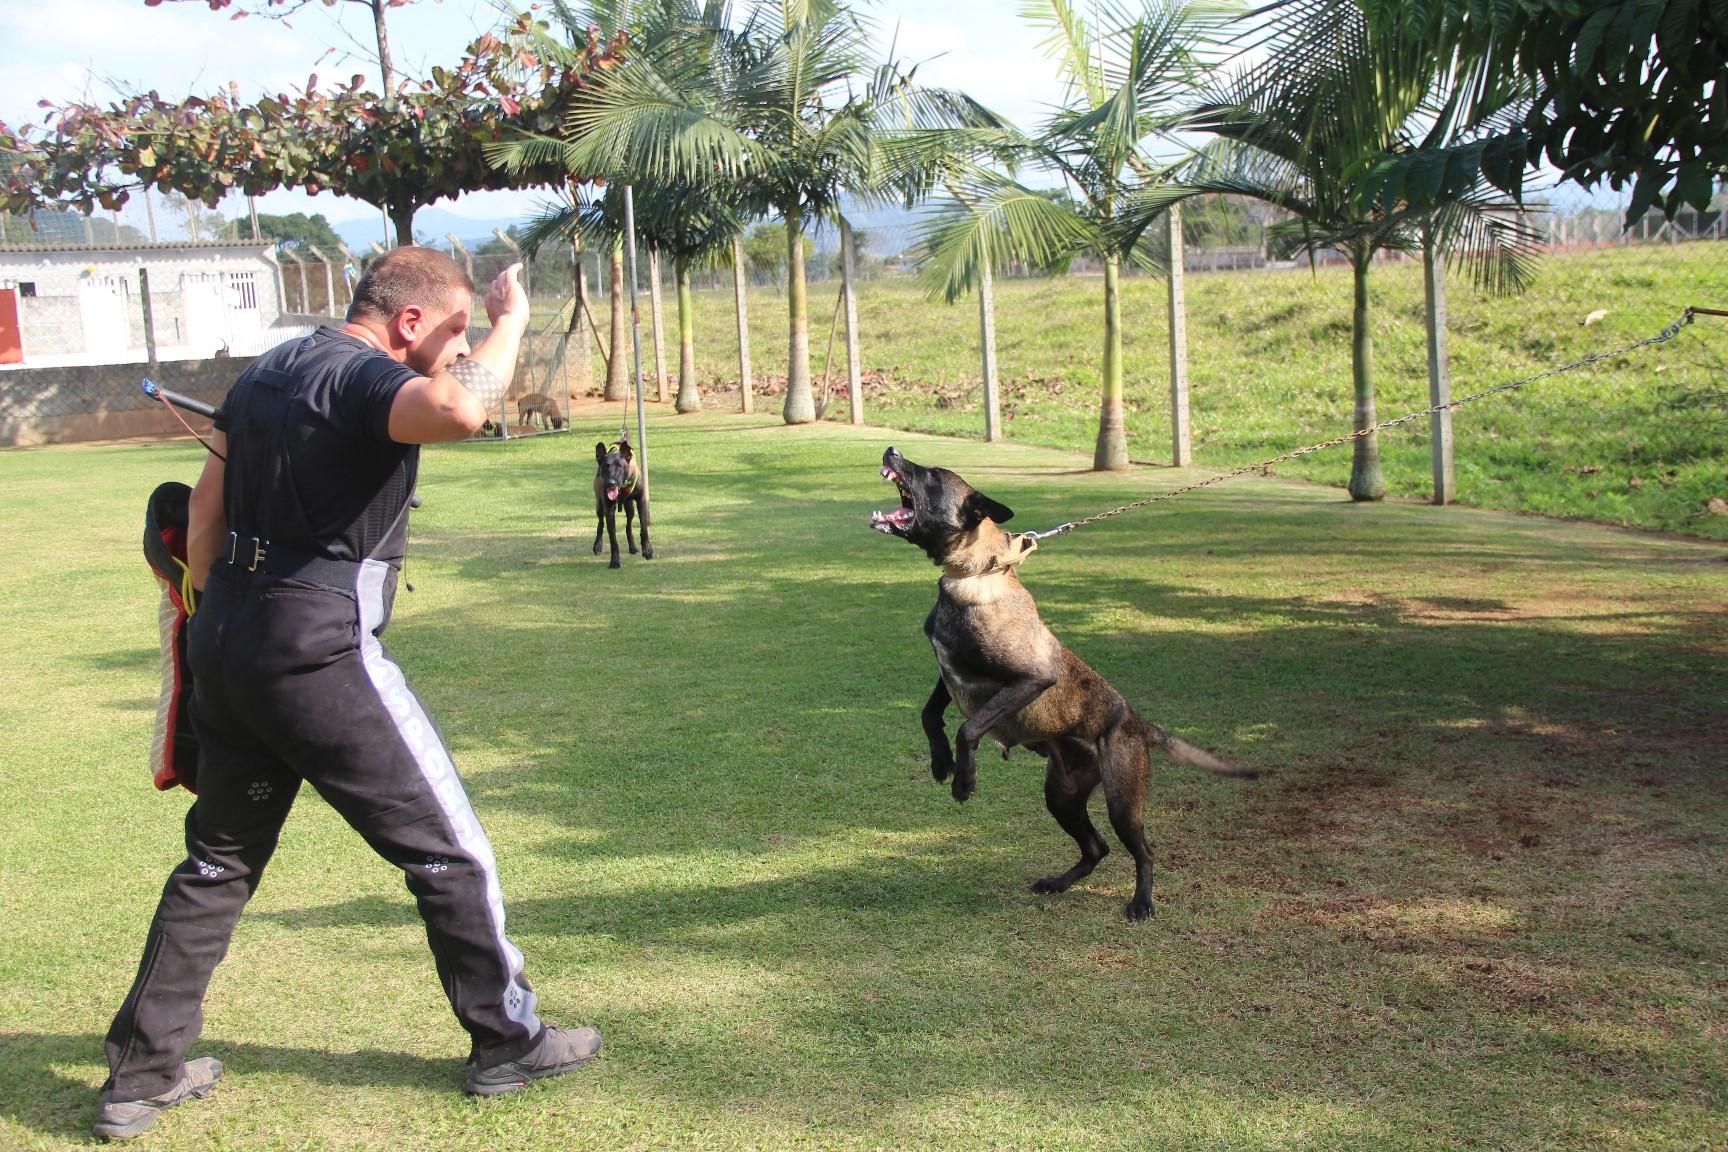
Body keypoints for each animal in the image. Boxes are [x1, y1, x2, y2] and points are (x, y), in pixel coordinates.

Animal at [590, 436, 649, 566]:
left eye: (619, 466)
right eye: (605, 467)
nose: (611, 483)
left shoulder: (641, 501)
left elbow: (643, 527)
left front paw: (648, 550)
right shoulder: (609, 509)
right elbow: (613, 538)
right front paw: (615, 560)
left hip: (630, 507)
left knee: (628, 526)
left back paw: (632, 547)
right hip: (599, 505)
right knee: (600, 523)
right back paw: (598, 545)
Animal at [870, 445, 1251, 925]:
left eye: (933, 476)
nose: (892, 450)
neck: (972, 575)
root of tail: (1136, 721)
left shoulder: (1032, 677)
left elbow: (968, 727)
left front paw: (964, 781)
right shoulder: (947, 669)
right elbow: (929, 714)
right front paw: (942, 763)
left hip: (1122, 800)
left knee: (1142, 850)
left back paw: (1141, 902)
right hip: (1062, 795)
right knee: (1096, 847)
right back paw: (1058, 883)